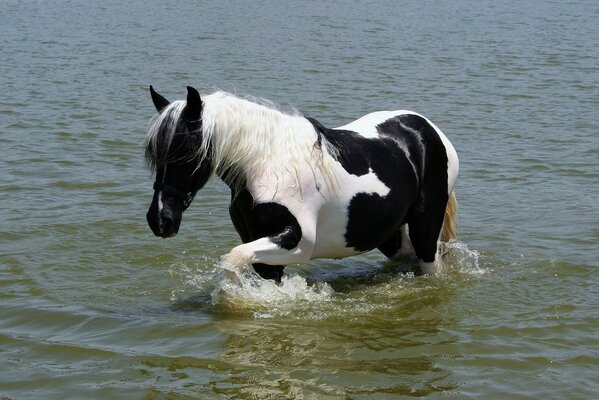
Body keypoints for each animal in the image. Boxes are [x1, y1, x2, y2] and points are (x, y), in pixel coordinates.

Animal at [144, 86, 460, 282]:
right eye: (154, 154)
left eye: (186, 150)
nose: (160, 220)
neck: (267, 164)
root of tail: (427, 129)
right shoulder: (260, 245)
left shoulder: (298, 242)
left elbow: (233, 259)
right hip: (386, 233)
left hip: (425, 230)